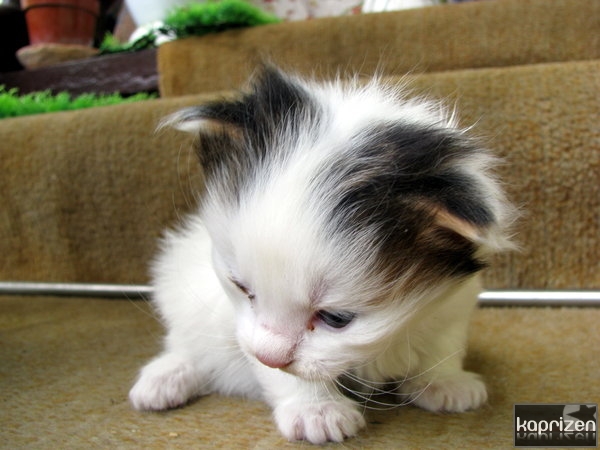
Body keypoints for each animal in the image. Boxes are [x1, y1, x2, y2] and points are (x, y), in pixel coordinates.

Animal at [129, 65, 514, 444]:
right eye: (242, 288)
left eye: (336, 318)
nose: (269, 358)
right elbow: (283, 369)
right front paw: (315, 410)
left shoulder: (451, 302)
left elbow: (444, 342)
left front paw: (444, 381)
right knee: (189, 344)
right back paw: (165, 377)